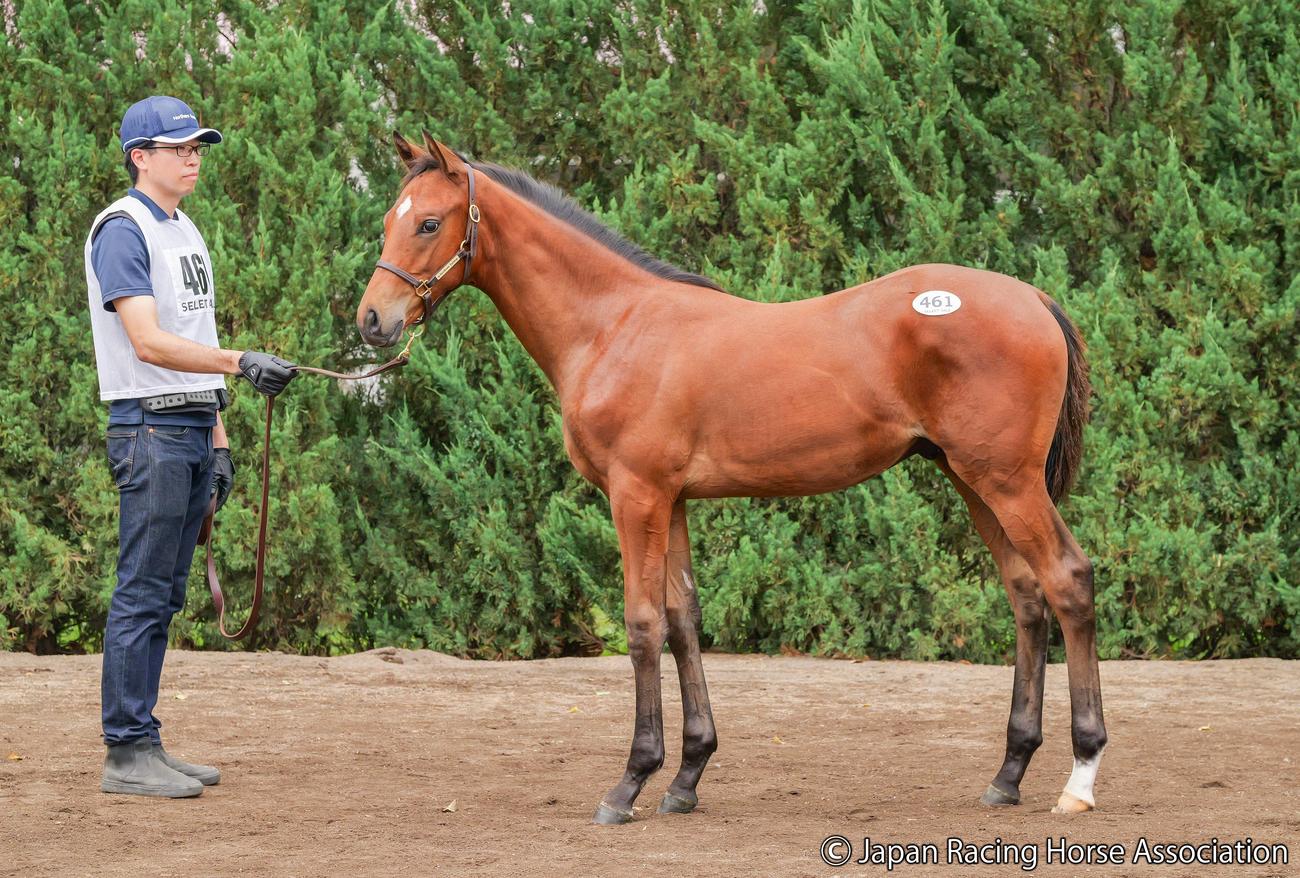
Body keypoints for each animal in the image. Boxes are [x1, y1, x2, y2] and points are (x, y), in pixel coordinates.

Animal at [355, 132, 1107, 824]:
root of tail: (1034, 299)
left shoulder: (635, 496)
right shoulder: (673, 501)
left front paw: (630, 783)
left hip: (1007, 482)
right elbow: (684, 620)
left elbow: (642, 625)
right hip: (974, 482)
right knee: (1026, 596)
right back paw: (1008, 773)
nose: (372, 319)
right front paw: (686, 777)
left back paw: (1080, 776)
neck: (614, 326)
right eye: (390, 218)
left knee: (1067, 580)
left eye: (429, 223)